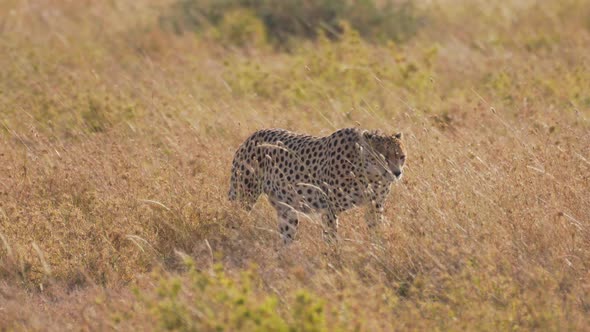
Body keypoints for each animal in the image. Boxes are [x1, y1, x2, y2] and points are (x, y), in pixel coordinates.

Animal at [230, 127, 408, 244]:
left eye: (401, 156)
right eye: (383, 157)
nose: (396, 173)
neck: (369, 175)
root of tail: (253, 135)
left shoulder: (374, 206)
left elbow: (376, 231)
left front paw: (378, 249)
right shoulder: (330, 209)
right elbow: (331, 237)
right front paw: (334, 257)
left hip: (287, 209)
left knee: (287, 235)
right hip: (244, 196)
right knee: (235, 217)